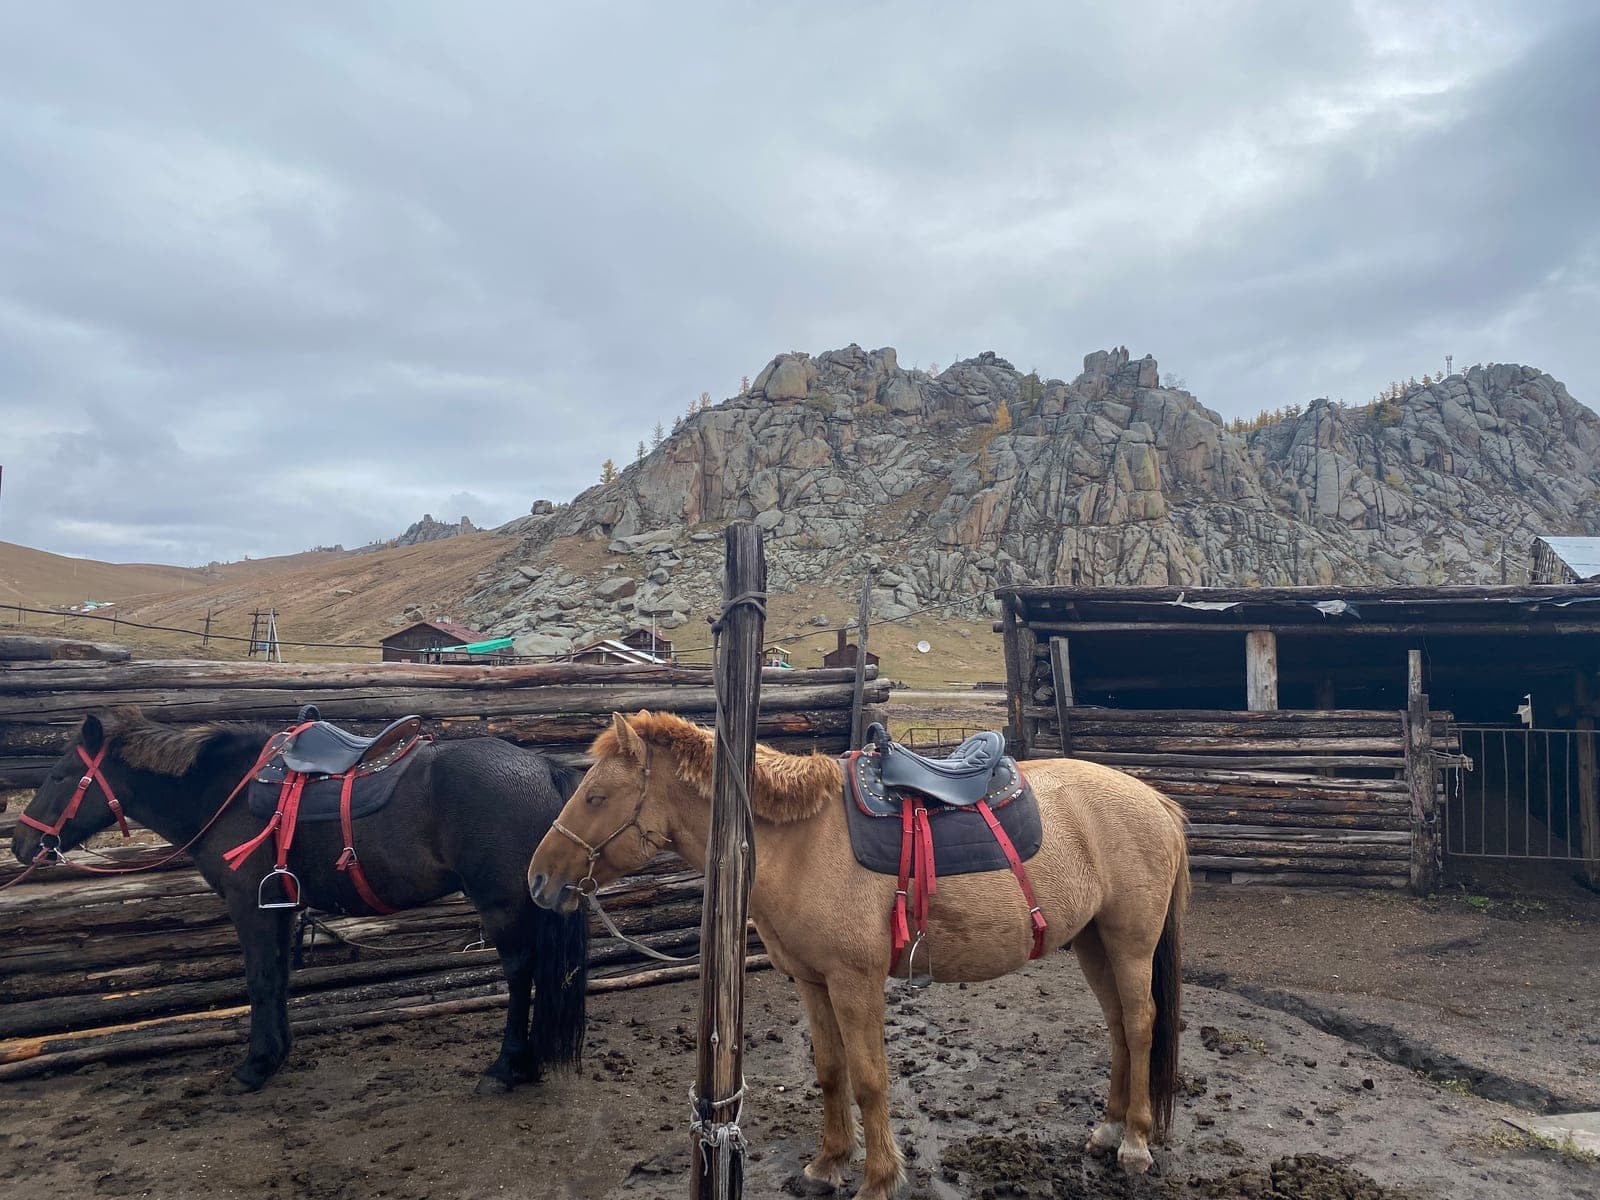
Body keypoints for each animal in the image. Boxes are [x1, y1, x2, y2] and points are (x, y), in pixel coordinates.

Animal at [11, 706, 589, 1096]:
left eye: (61, 776)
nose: (20, 844)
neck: (225, 791)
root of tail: (542, 768)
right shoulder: (280, 906)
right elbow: (280, 977)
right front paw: (277, 1054)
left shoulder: (248, 903)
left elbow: (260, 978)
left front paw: (255, 1066)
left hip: (502, 905)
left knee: (519, 974)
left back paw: (507, 1066)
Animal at [527, 711, 1188, 1200]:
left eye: (596, 796)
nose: (538, 881)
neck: (799, 841)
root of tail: (1155, 801)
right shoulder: (812, 981)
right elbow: (829, 1071)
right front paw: (828, 1163)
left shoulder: (855, 982)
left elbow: (870, 1079)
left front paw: (878, 1178)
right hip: (1095, 943)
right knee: (1118, 1028)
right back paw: (1107, 1128)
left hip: (1129, 943)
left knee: (1140, 1023)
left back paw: (1134, 1142)